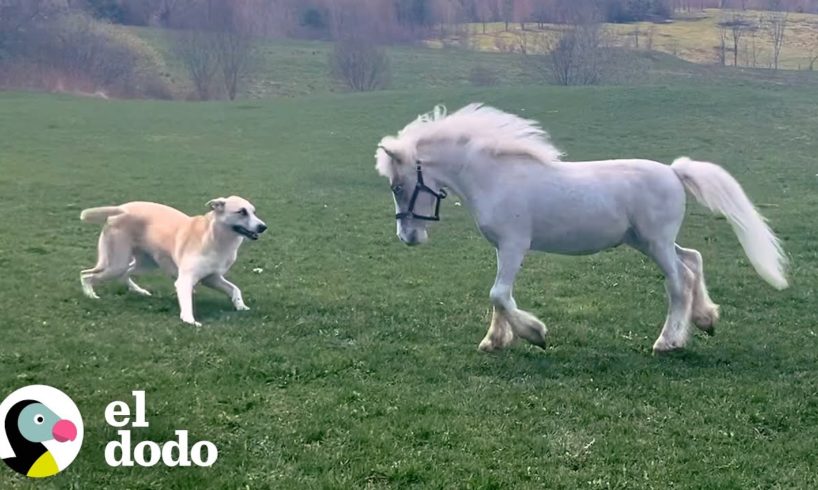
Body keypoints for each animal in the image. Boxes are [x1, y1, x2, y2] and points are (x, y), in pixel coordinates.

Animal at [79, 195, 266, 326]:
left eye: (254, 211)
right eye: (241, 211)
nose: (263, 227)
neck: (215, 237)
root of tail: (120, 209)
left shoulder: (212, 278)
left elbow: (235, 289)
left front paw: (241, 306)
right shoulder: (185, 280)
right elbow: (187, 301)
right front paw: (189, 320)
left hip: (146, 263)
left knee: (126, 273)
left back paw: (139, 291)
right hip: (116, 264)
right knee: (86, 274)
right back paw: (91, 295)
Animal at [374, 105, 784, 354]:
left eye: (398, 186)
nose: (408, 238)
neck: (495, 177)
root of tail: (674, 171)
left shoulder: (514, 246)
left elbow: (499, 294)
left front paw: (535, 334)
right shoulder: (502, 249)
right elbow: (498, 297)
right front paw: (494, 341)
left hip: (655, 243)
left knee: (679, 282)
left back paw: (667, 342)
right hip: (647, 241)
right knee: (693, 261)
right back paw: (705, 320)